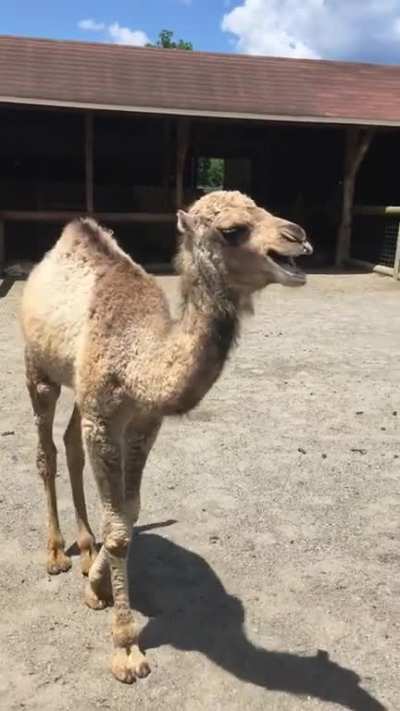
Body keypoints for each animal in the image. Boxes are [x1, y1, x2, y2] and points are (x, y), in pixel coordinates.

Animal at [20, 190, 313, 684]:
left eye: (261, 208)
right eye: (232, 230)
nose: (299, 238)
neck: (142, 359)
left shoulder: (141, 423)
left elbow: (130, 513)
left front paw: (97, 586)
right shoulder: (105, 420)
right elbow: (120, 529)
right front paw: (125, 647)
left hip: (80, 388)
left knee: (71, 443)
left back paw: (85, 549)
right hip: (37, 368)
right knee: (46, 451)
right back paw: (57, 554)